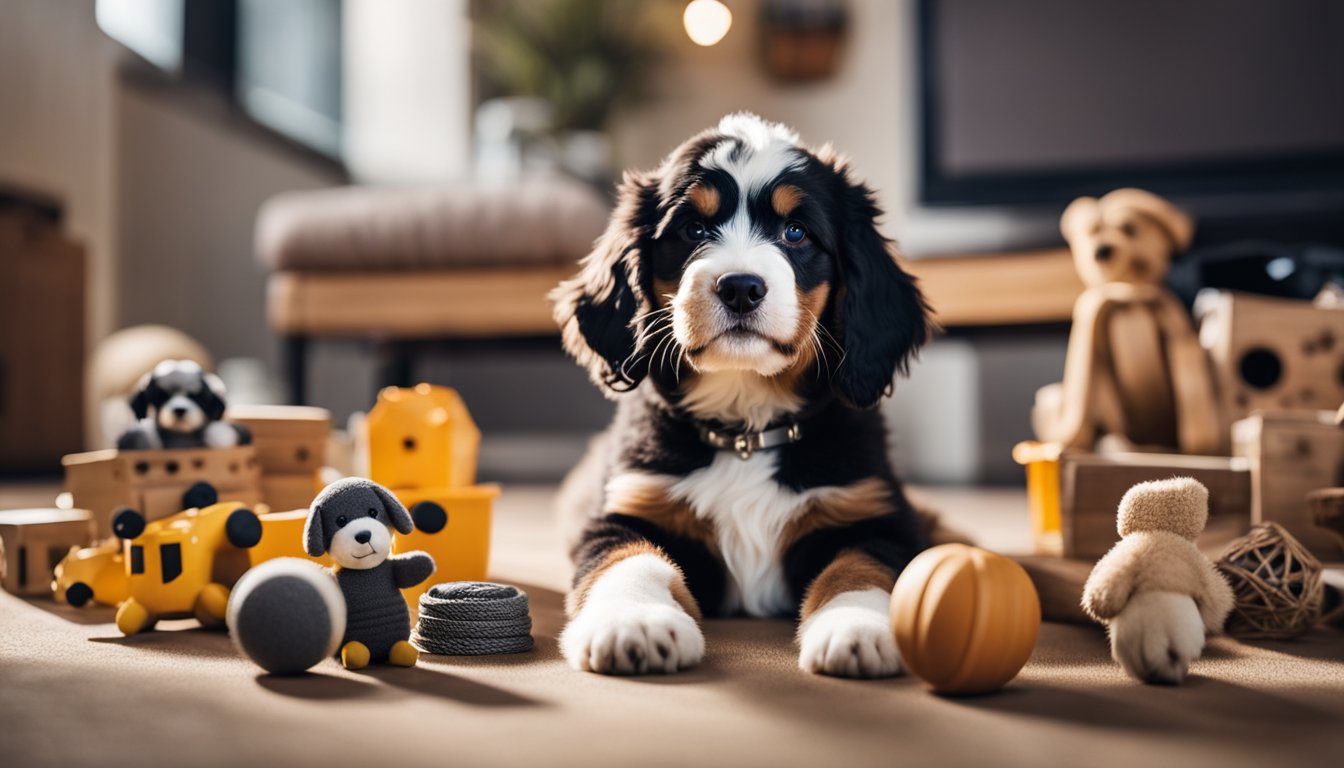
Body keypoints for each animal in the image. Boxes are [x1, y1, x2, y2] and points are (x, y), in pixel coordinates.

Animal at [553, 114, 935, 677]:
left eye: (796, 232)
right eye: (693, 229)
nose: (740, 287)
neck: (745, 432)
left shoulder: (873, 514)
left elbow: (860, 567)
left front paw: (858, 628)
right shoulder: (625, 509)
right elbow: (629, 559)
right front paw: (635, 622)